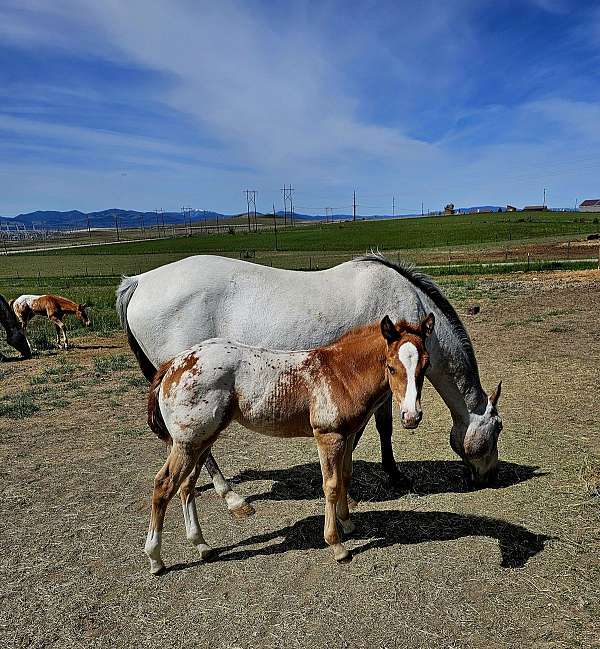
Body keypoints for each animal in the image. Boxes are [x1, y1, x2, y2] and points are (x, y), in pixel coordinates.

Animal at [117, 253, 502, 516]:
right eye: (497, 429)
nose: (490, 478)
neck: (405, 299)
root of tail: (139, 281)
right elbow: (376, 429)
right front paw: (384, 480)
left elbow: (380, 429)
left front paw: (387, 475)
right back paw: (232, 498)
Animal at [145, 314, 436, 572]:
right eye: (391, 367)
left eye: (425, 366)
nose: (411, 416)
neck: (341, 373)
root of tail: (174, 364)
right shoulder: (328, 437)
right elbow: (331, 485)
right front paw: (337, 545)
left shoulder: (348, 435)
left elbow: (345, 476)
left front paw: (348, 523)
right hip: (188, 442)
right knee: (164, 485)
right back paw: (156, 559)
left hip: (202, 440)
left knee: (186, 486)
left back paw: (202, 546)